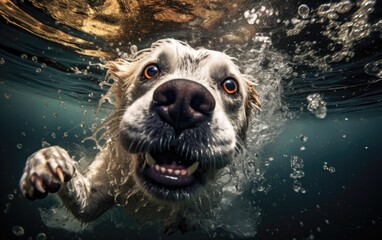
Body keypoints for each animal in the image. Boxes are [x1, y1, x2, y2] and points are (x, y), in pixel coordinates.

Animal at [20, 39, 260, 232]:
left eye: (230, 85)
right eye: (151, 70)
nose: (183, 100)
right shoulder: (101, 187)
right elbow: (83, 202)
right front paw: (47, 163)